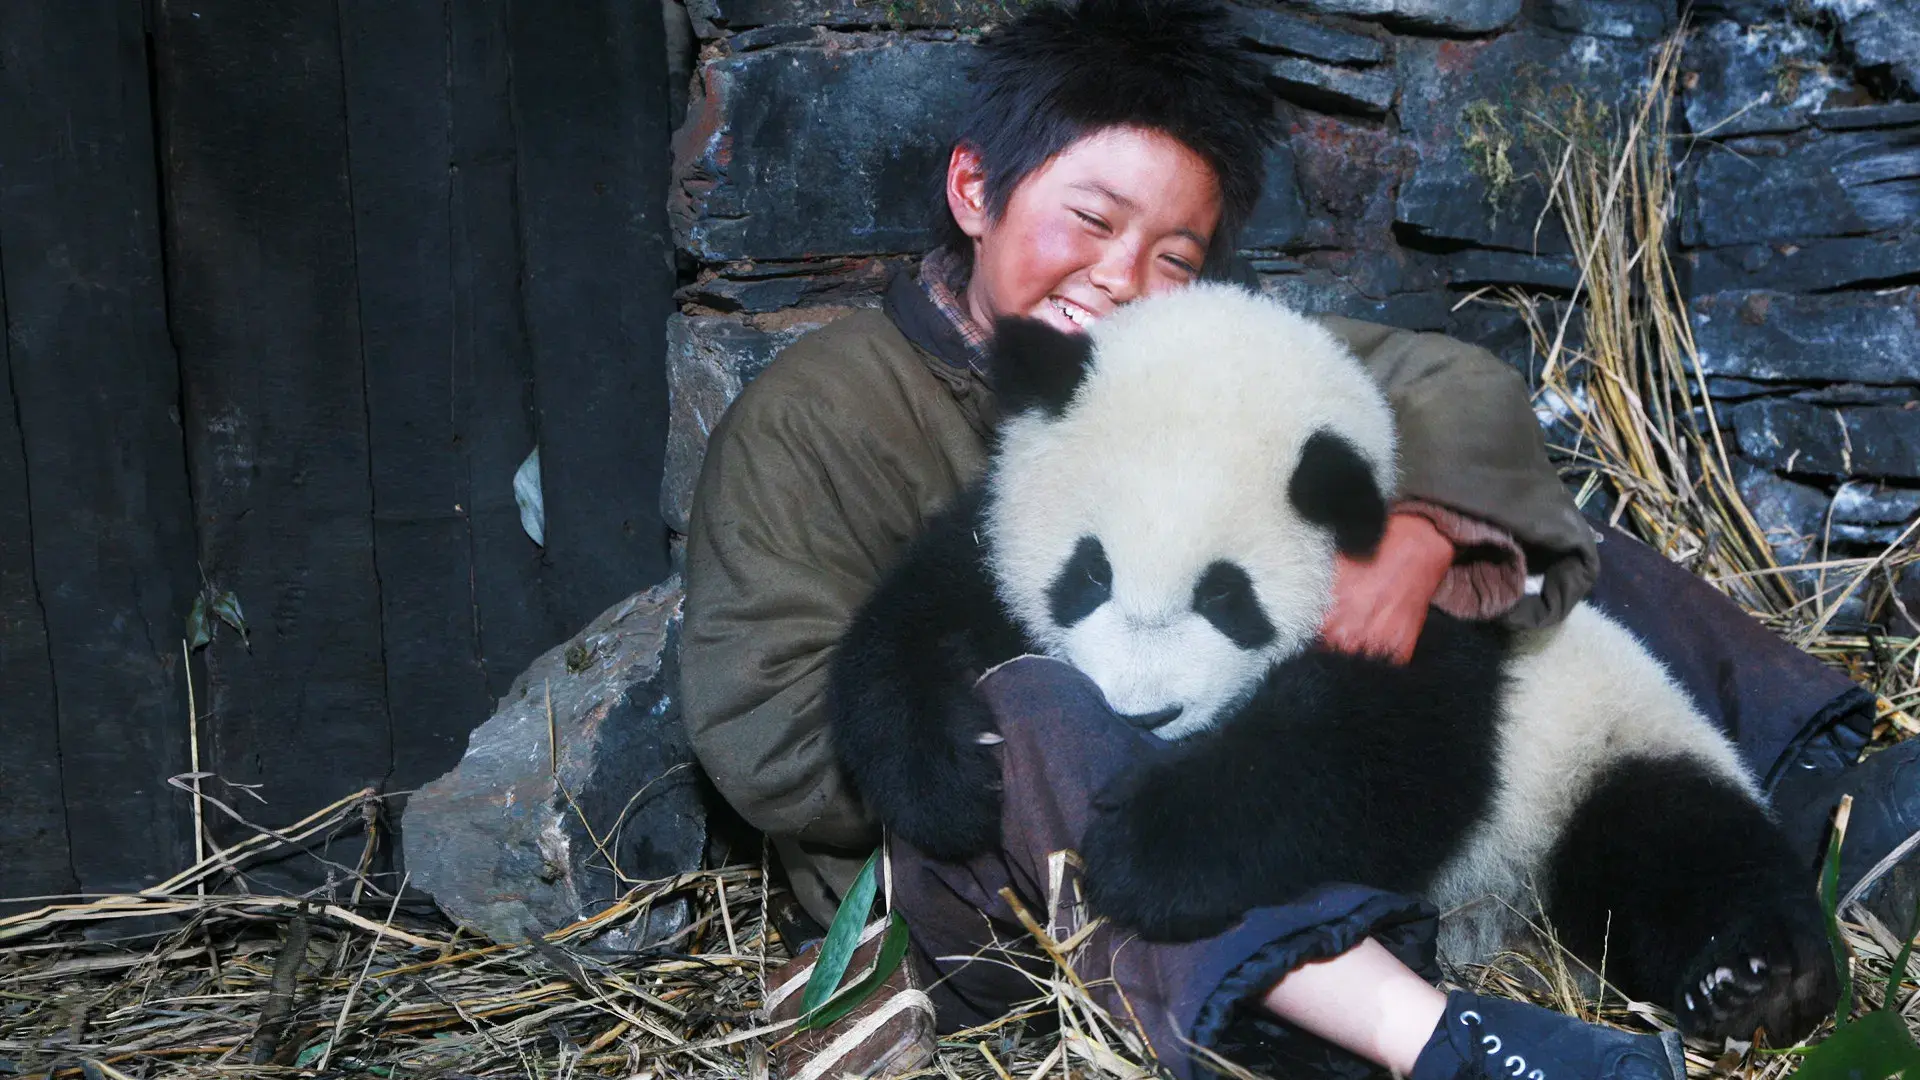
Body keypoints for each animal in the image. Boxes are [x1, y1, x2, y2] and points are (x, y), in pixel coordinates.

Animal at [827, 283, 1836, 1044]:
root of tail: (1507, 921)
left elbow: (1370, 764)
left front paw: (1146, 850)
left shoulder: (1425, 624)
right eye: (1089, 572)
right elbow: (918, 622)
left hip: (1600, 744)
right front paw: (947, 777)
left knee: (1676, 842)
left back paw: (1755, 979)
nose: (1143, 715)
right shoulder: (987, 548)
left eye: (1226, 597)